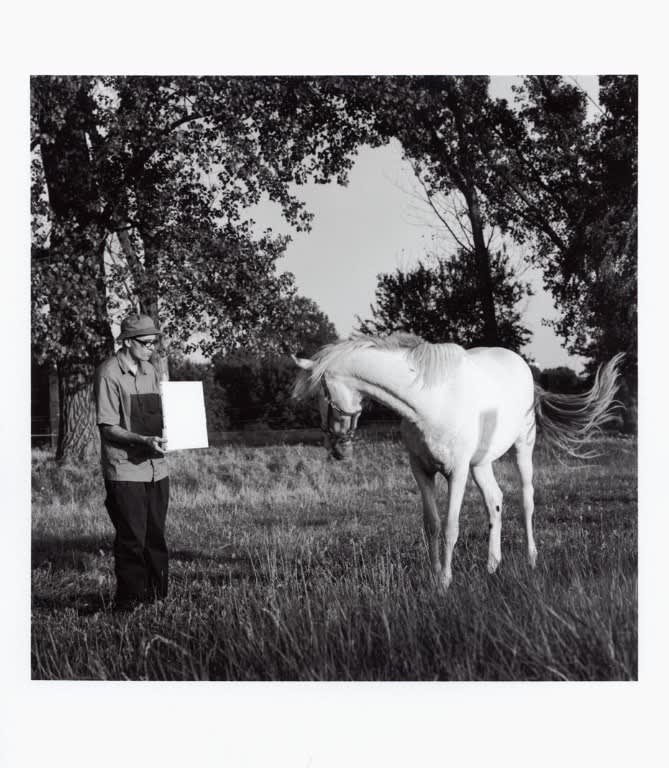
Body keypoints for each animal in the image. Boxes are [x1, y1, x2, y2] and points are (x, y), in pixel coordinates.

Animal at [292, 332, 623, 590]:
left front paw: (446, 581)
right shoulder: (421, 469)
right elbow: (432, 525)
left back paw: (531, 558)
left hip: (523, 447)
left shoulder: (457, 471)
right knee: (495, 501)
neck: (429, 403)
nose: (336, 448)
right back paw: (492, 565)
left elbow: (451, 526)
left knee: (526, 500)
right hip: (481, 463)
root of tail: (524, 368)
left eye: (320, 394)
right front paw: (435, 576)